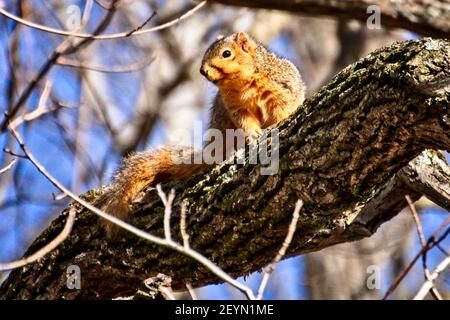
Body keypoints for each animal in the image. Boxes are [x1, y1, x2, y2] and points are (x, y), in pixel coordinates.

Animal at [101, 31, 306, 238]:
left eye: (226, 53)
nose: (202, 71)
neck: (241, 84)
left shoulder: (281, 90)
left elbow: (282, 110)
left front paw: (279, 123)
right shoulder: (236, 108)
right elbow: (246, 123)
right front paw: (253, 134)